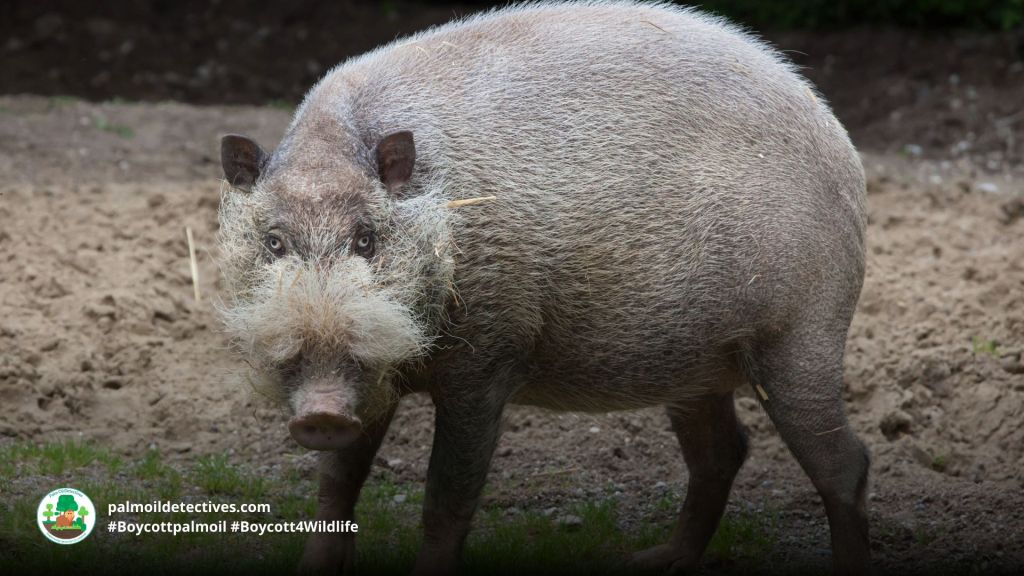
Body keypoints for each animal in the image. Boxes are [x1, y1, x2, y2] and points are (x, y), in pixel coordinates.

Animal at [217, 1, 870, 574]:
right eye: (273, 242)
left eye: (366, 240)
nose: (321, 414)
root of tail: (845, 152)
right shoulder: (375, 377)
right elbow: (338, 482)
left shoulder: (487, 362)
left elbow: (447, 497)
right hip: (696, 368)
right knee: (723, 453)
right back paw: (653, 561)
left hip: (802, 335)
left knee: (846, 464)